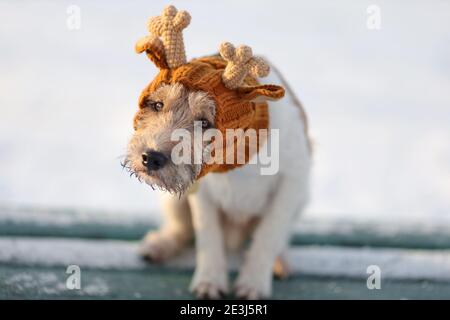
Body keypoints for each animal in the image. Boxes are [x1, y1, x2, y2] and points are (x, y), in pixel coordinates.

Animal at [124, 5, 312, 300]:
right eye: (157, 105)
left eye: (205, 122)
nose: (150, 157)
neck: (241, 159)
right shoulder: (201, 191)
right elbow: (208, 235)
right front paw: (209, 281)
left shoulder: (291, 183)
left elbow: (269, 233)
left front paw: (253, 283)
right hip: (174, 201)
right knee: (181, 229)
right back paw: (159, 245)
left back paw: (280, 261)